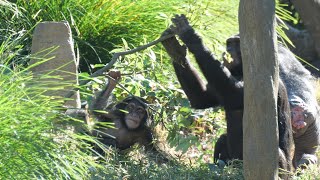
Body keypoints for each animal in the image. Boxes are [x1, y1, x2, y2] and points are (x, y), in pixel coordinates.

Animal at [161, 14, 296, 173]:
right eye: (229, 43)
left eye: (236, 43)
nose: (228, 48)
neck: (240, 71)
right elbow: (201, 98)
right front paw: (174, 49)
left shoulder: (261, 79)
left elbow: (234, 93)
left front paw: (191, 35)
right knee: (222, 139)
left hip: (283, 170)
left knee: (273, 155)